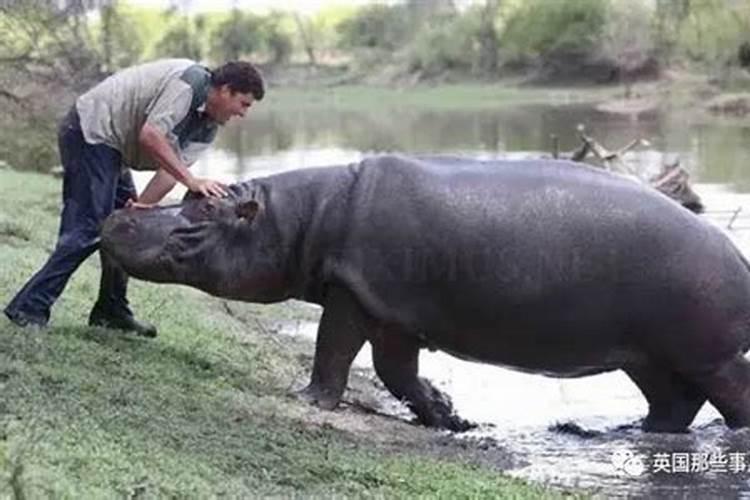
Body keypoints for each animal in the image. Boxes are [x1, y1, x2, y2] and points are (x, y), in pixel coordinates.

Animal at [103, 156, 750, 434]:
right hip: (649, 354)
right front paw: (447, 412)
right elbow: (397, 373)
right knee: (675, 401)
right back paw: (637, 431)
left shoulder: (352, 294)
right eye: (192, 193)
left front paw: (305, 399)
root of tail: (738, 258)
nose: (119, 214)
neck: (300, 218)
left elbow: (332, 352)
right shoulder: (391, 312)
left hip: (704, 352)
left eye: (198, 217)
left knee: (729, 393)